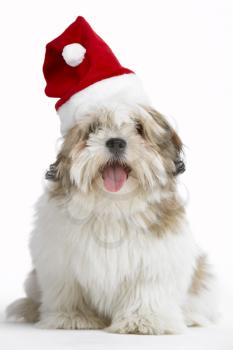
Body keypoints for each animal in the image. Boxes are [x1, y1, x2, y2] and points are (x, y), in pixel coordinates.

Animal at [6, 106, 218, 334]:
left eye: (139, 128)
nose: (116, 142)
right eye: (93, 128)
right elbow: (69, 289)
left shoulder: (155, 258)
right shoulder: (60, 261)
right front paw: (74, 317)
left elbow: (147, 288)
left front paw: (143, 320)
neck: (113, 202)